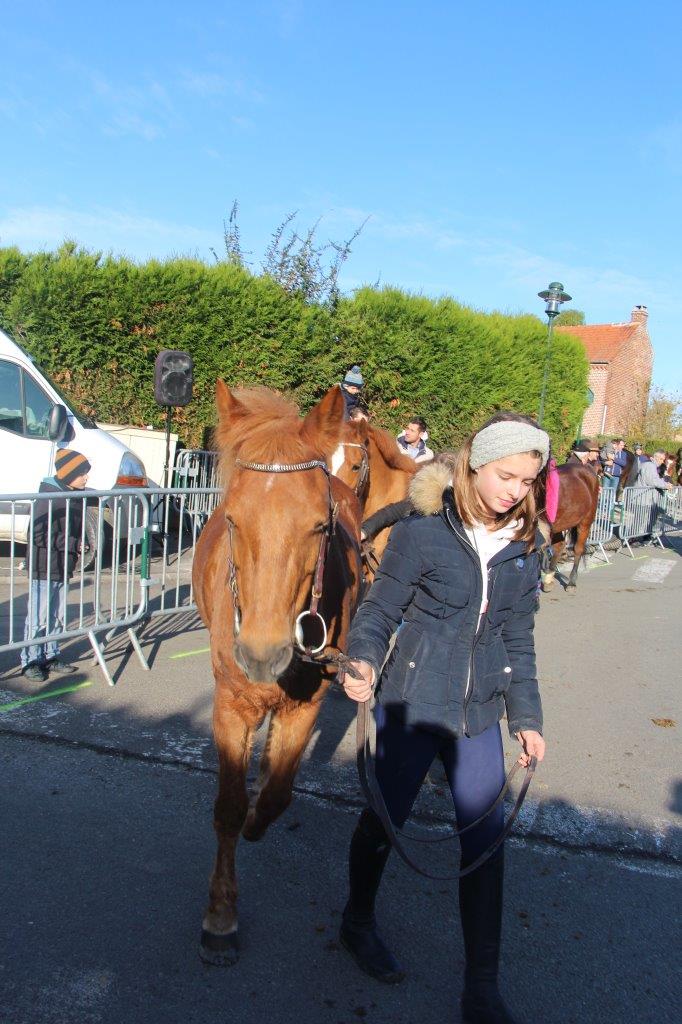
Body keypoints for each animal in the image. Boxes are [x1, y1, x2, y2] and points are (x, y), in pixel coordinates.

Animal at [191, 385, 360, 966]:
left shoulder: (307, 704)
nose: (262, 654)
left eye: (319, 526)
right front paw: (220, 915)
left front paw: (258, 816)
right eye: (233, 520)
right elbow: (226, 808)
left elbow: (278, 793)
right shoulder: (230, 704)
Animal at [540, 462, 598, 598]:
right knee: (559, 545)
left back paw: (571, 583)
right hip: (558, 524)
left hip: (585, 522)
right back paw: (549, 577)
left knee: (578, 549)